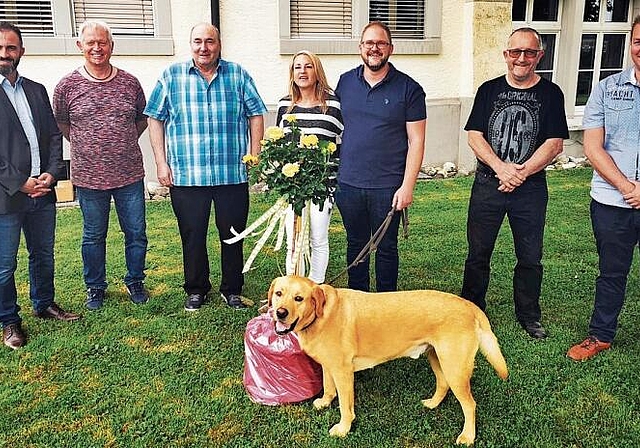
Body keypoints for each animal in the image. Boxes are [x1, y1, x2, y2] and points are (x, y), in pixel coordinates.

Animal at [268, 274, 508, 446]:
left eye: (299, 298)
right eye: (279, 293)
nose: (280, 313)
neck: (321, 315)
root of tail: (469, 305)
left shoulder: (344, 372)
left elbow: (345, 406)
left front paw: (343, 428)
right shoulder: (330, 366)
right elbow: (328, 387)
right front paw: (325, 402)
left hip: (454, 367)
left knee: (470, 404)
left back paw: (468, 436)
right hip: (437, 358)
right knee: (443, 384)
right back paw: (432, 403)